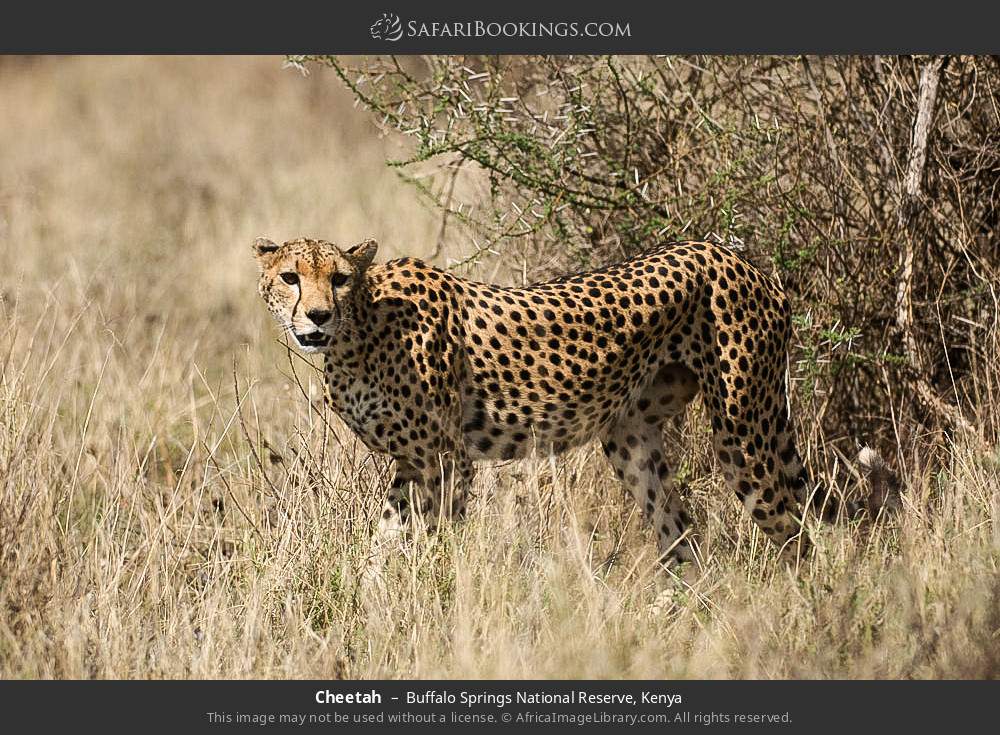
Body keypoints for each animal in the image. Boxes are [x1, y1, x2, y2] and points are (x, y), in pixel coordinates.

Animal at [253, 235, 878, 568]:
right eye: (290, 277)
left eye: (338, 278)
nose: (317, 316)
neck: (358, 329)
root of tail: (735, 256)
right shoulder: (414, 463)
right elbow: (385, 541)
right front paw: (371, 597)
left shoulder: (445, 459)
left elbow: (436, 539)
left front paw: (433, 595)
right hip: (630, 438)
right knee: (682, 535)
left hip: (745, 434)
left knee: (798, 534)